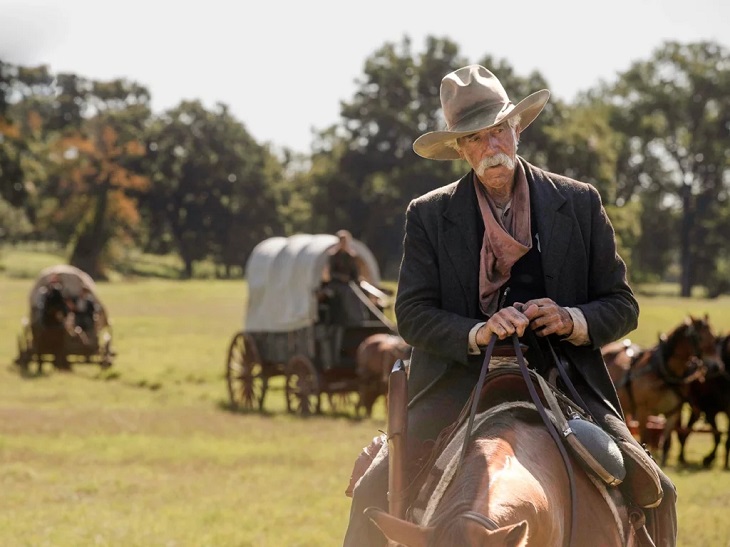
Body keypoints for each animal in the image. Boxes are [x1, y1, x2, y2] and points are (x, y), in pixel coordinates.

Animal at [600, 316, 720, 466]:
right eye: (699, 337)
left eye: (714, 336)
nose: (716, 366)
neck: (663, 373)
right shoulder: (643, 411)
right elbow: (644, 439)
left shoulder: (673, 413)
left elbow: (666, 443)